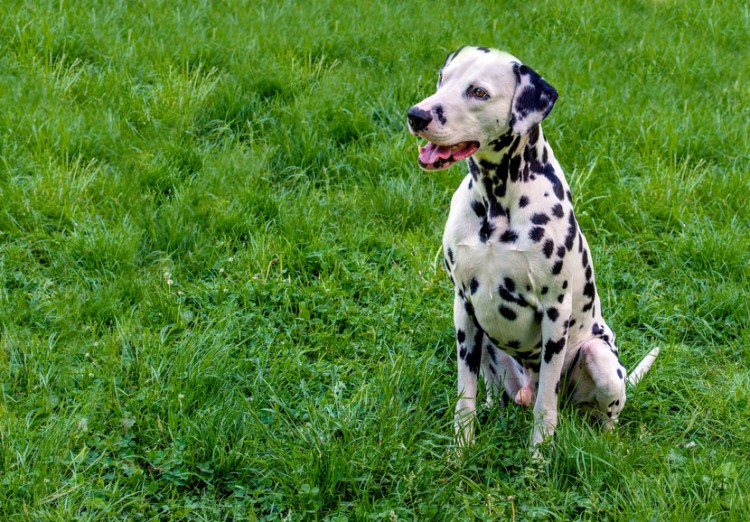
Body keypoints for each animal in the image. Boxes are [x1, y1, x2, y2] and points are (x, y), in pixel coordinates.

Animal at [408, 46, 660, 444]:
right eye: (442, 79)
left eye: (478, 92)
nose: (417, 115)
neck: (496, 204)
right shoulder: (464, 308)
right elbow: (465, 400)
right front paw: (460, 450)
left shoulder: (554, 314)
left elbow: (546, 409)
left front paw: (538, 456)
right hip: (487, 346)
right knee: (492, 394)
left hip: (600, 360)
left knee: (599, 415)